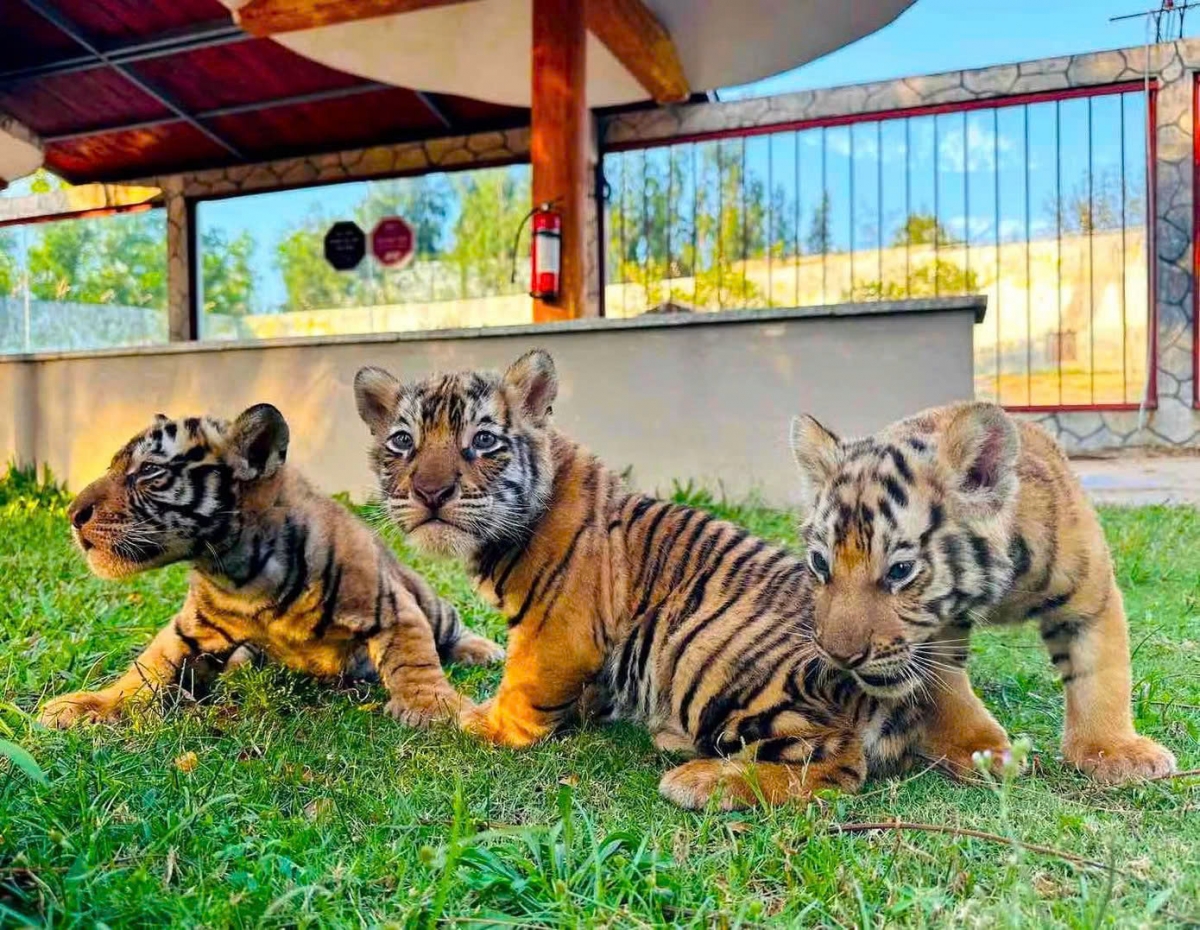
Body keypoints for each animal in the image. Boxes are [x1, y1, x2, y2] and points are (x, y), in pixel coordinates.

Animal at [38, 403, 502, 731]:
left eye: (149, 470)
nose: (72, 514)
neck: (236, 572)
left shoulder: (392, 608)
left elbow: (415, 665)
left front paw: (438, 709)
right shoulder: (190, 628)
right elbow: (146, 668)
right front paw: (87, 705)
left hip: (426, 598)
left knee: (451, 627)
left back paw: (485, 650)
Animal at [353, 349, 977, 810]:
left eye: (482, 441)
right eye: (403, 442)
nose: (430, 493)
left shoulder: (556, 629)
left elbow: (524, 685)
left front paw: (483, 722)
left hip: (702, 644)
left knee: (840, 762)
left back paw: (702, 780)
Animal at [788, 402, 1176, 782]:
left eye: (901, 570)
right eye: (820, 563)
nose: (840, 657)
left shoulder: (1088, 597)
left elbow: (1100, 675)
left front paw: (1114, 751)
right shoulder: (937, 633)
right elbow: (947, 693)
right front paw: (982, 750)